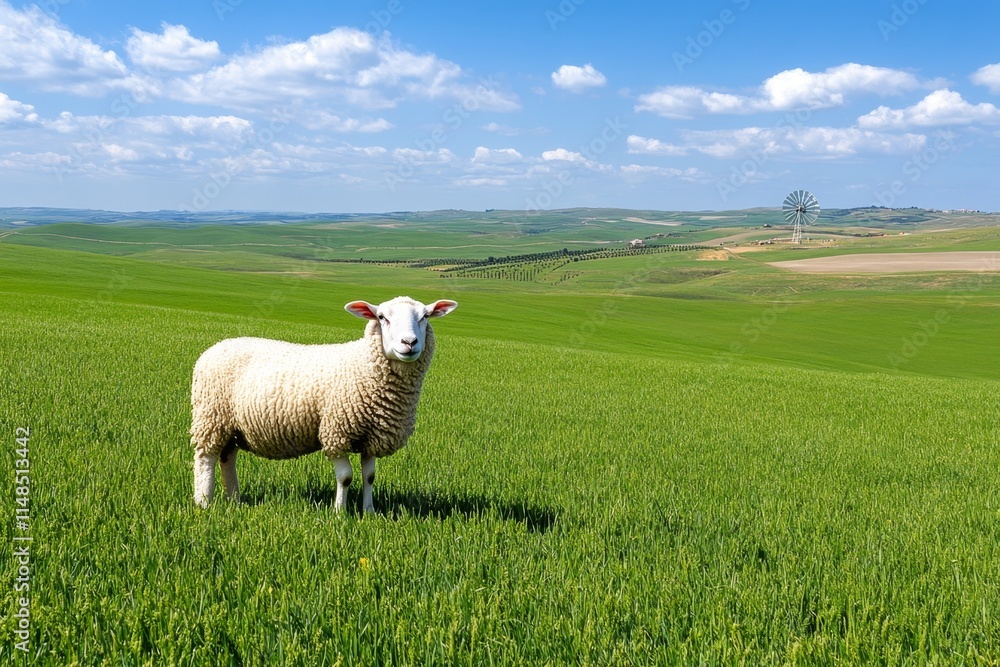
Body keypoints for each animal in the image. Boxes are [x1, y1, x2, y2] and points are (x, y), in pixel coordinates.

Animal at [190, 296, 458, 512]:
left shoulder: (372, 435)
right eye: (382, 317)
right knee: (205, 458)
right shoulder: (336, 432)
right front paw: (340, 512)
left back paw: (234, 499)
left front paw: (369, 511)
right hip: (210, 417)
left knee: (227, 458)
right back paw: (204, 502)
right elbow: (346, 477)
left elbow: (369, 476)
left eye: (425, 316)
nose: (409, 342)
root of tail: (215, 347)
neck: (363, 367)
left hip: (232, 427)